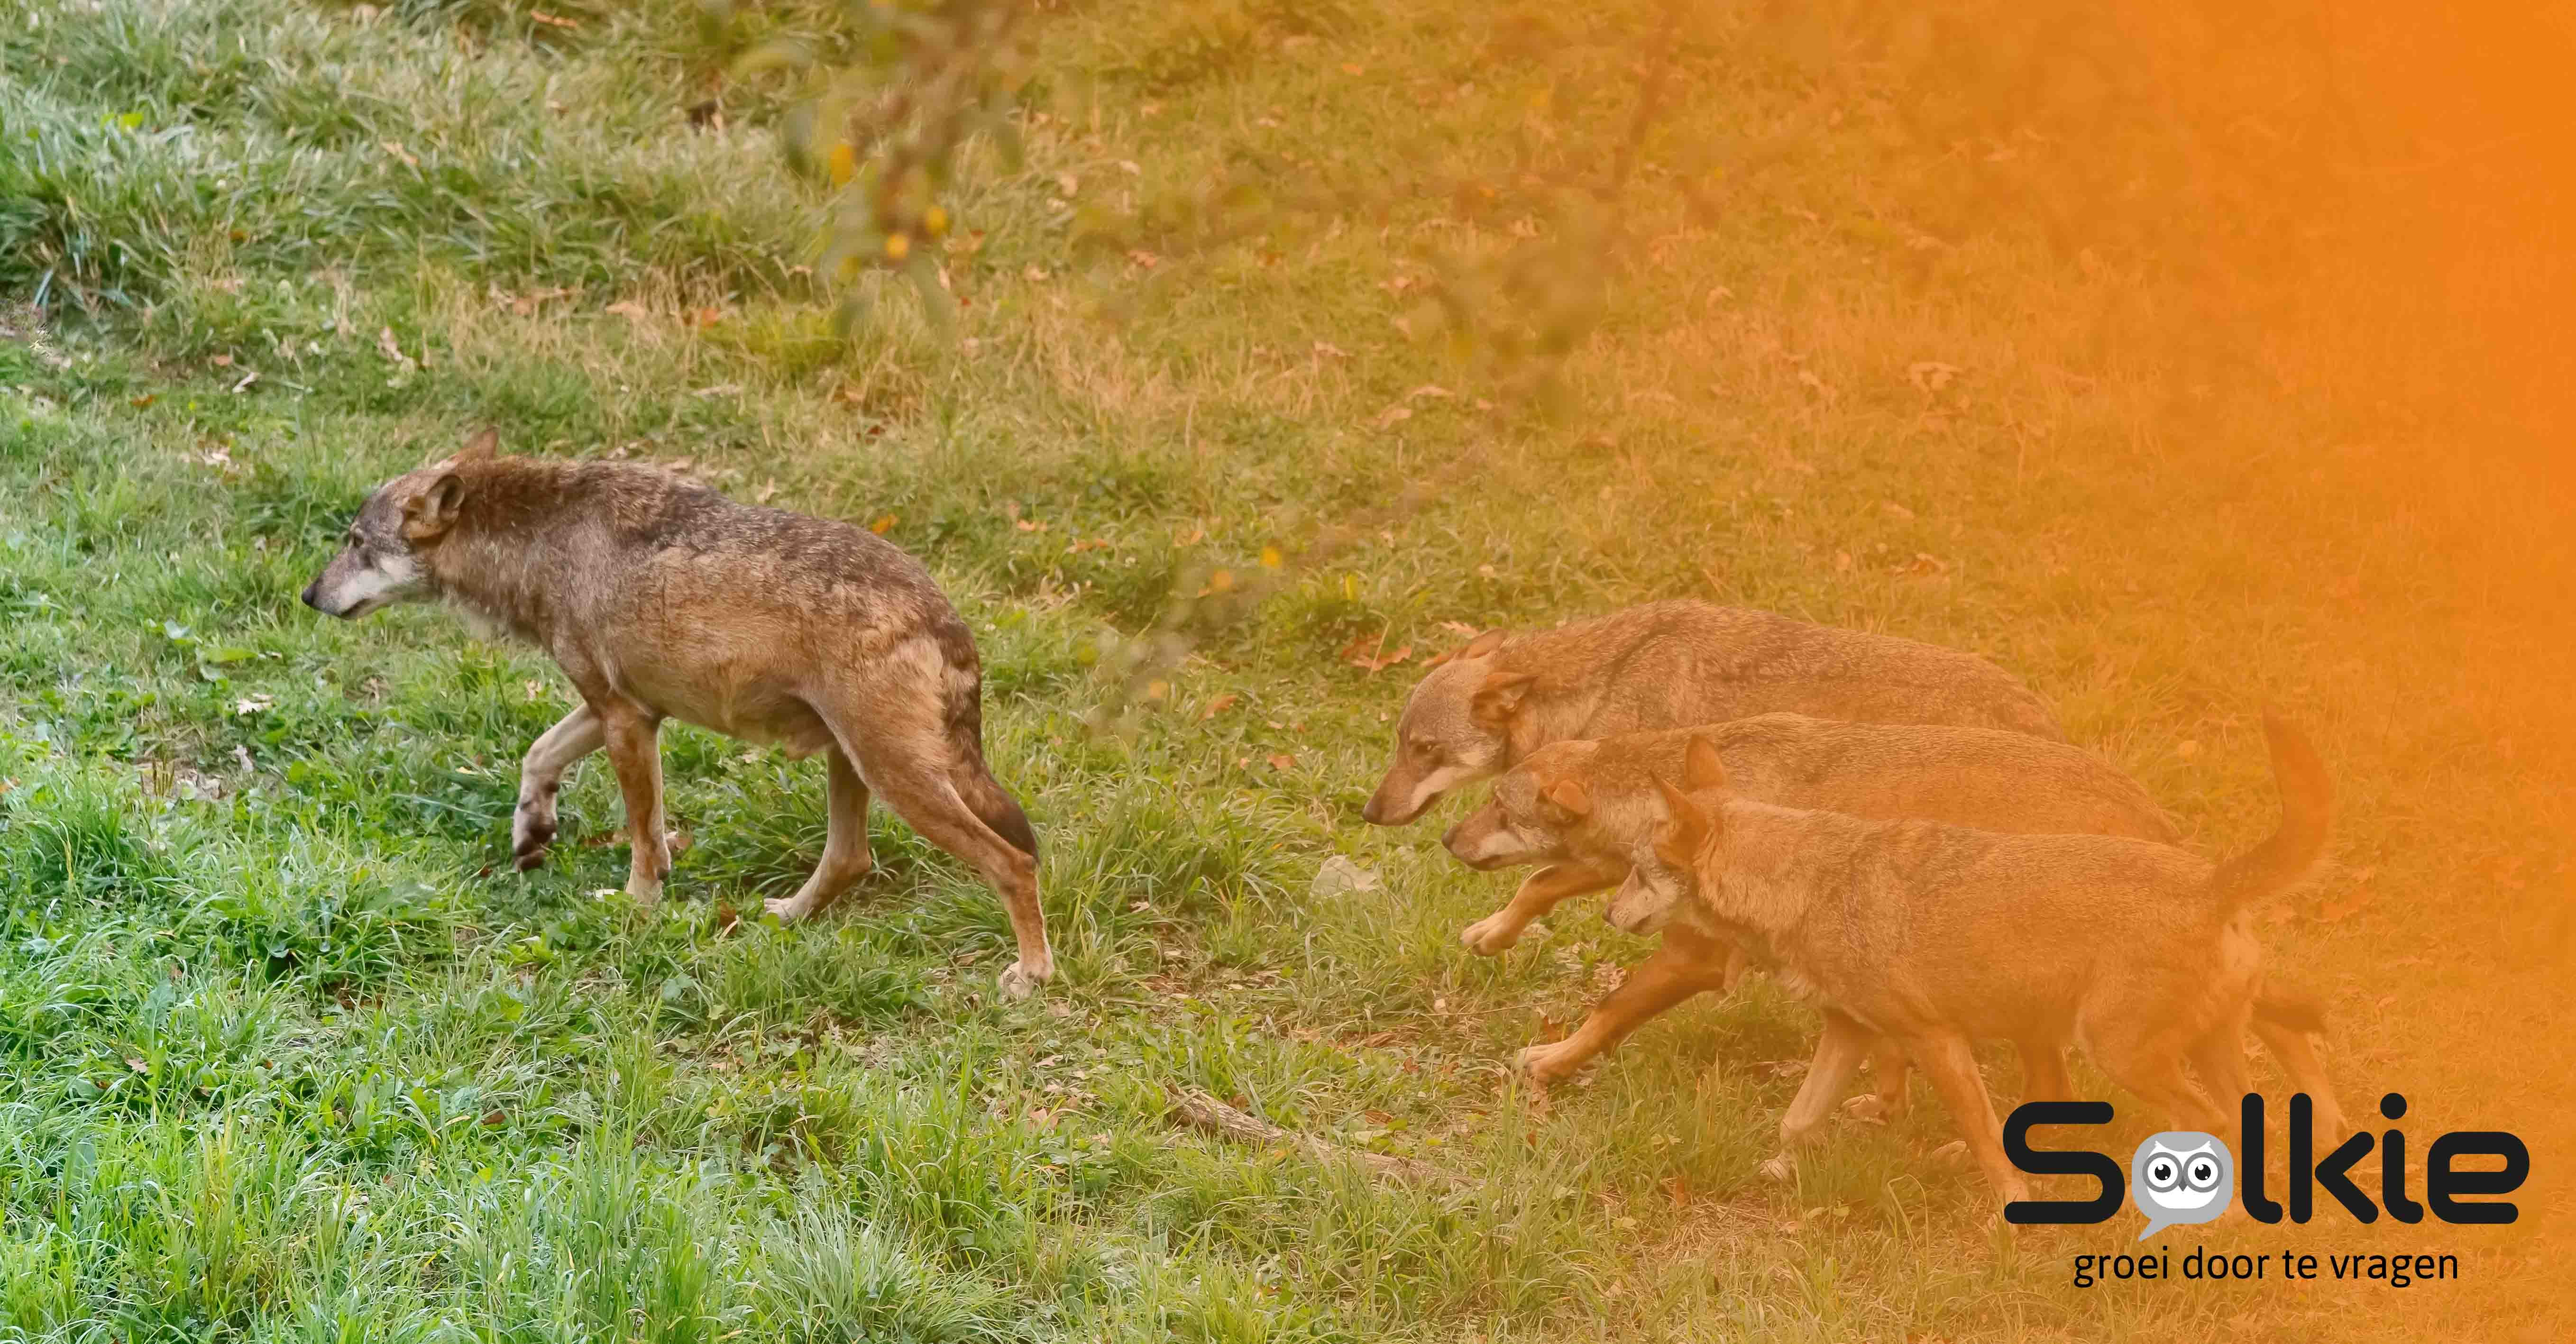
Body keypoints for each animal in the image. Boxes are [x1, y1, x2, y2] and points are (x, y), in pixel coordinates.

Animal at [304, 430, 1056, 994]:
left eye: (356, 542)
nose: (309, 596)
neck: (542, 541)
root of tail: (945, 615)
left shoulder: (625, 721)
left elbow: (642, 835)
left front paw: (637, 905)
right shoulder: (621, 708)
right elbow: (538, 756)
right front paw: (533, 831)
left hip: (898, 778)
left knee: (1014, 862)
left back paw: (1031, 974)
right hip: (854, 766)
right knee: (851, 859)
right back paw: (785, 915)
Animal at [1617, 715, 2349, 1199]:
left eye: (1635, 870)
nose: (1606, 916)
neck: (1809, 883)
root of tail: (2211, 881)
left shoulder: (1937, 1039)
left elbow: (1985, 1136)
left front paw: (2010, 1210)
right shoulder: (1850, 1031)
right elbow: (1797, 1121)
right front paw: (1777, 1171)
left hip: (2116, 1053)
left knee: (2208, 1120)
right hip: (2181, 1050)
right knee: (2243, 1118)